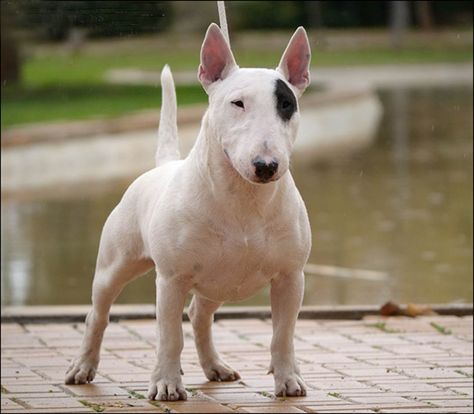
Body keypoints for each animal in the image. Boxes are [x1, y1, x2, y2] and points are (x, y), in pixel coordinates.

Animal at [65, 23, 312, 402]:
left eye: (287, 104)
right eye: (237, 103)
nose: (266, 166)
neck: (243, 199)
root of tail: (163, 165)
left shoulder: (290, 278)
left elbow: (282, 335)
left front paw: (287, 379)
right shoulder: (171, 279)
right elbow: (169, 336)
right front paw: (166, 383)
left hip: (218, 280)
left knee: (198, 315)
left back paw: (216, 366)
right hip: (114, 266)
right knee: (98, 314)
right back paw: (83, 367)